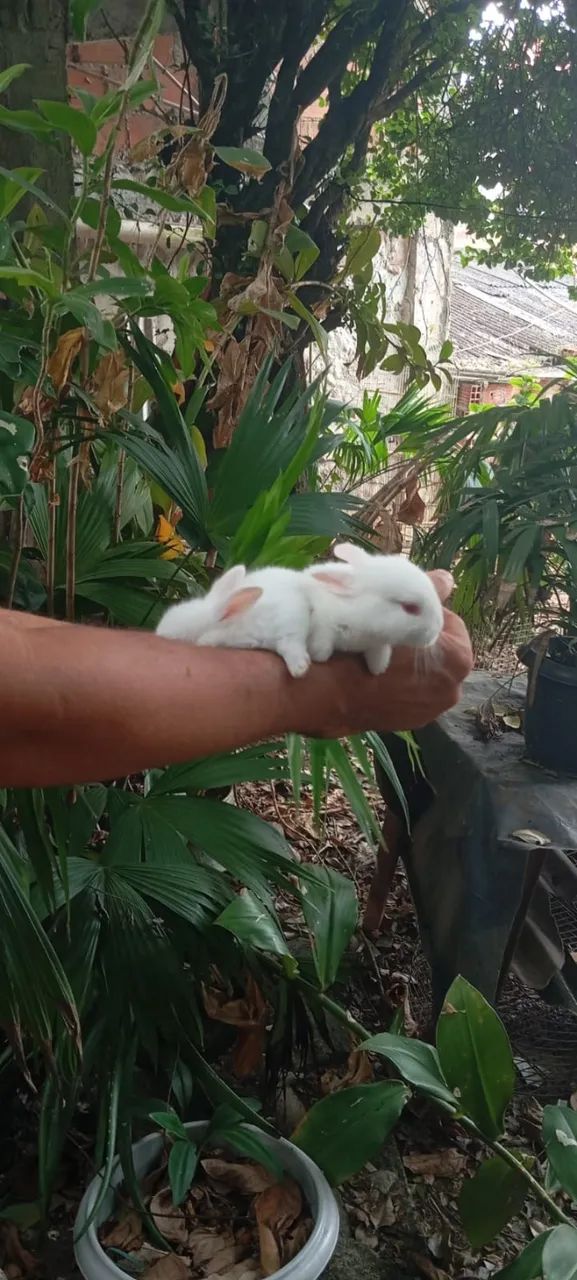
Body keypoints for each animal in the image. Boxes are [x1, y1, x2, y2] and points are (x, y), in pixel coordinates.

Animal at [302, 542, 446, 675]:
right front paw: (316, 657)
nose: (436, 632)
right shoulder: (323, 628)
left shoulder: (377, 645)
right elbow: (321, 651)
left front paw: (377, 669)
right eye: (410, 607)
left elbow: (379, 661)